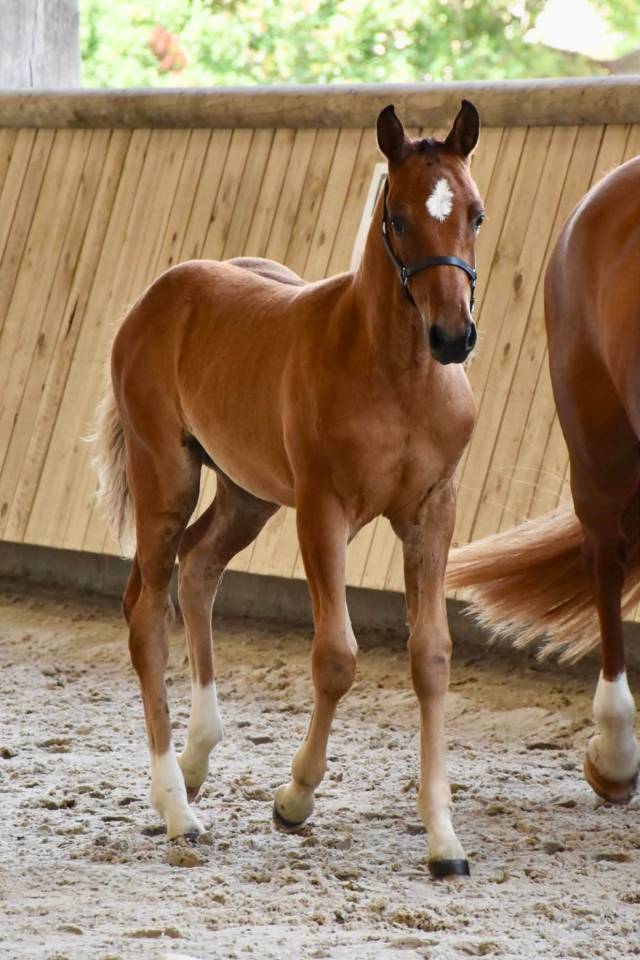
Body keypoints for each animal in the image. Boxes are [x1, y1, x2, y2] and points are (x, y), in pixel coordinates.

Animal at [92, 100, 484, 880]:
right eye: (397, 218)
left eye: (475, 215)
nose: (453, 336)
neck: (397, 376)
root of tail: (157, 295)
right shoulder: (322, 511)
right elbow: (335, 657)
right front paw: (295, 797)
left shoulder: (433, 511)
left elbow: (431, 657)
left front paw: (444, 840)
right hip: (167, 475)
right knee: (147, 608)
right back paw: (178, 811)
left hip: (247, 492)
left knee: (198, 567)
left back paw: (193, 765)